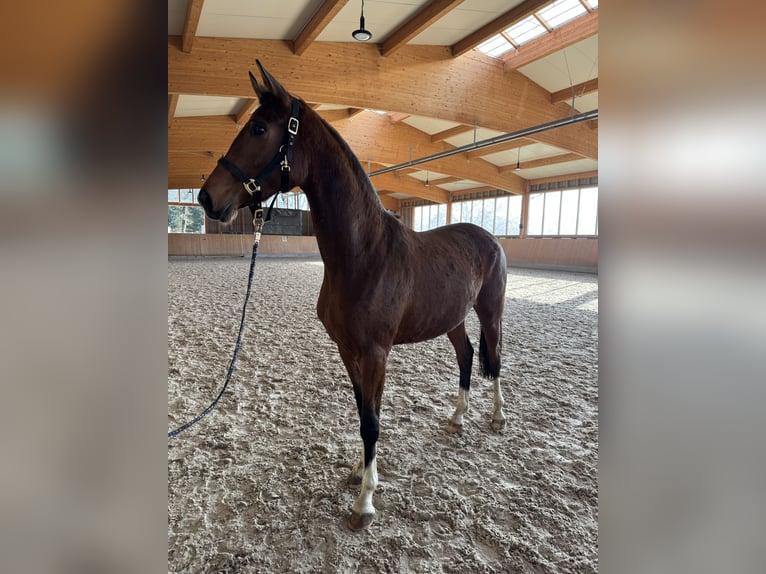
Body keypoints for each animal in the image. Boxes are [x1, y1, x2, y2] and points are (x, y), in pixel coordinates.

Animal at [197, 61, 508, 531]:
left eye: (258, 128)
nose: (205, 197)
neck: (364, 255)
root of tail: (487, 236)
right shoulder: (347, 349)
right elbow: (363, 410)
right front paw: (359, 472)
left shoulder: (376, 352)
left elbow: (372, 423)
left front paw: (365, 502)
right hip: (452, 319)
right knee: (468, 354)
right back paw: (457, 418)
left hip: (491, 312)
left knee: (496, 357)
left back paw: (497, 418)